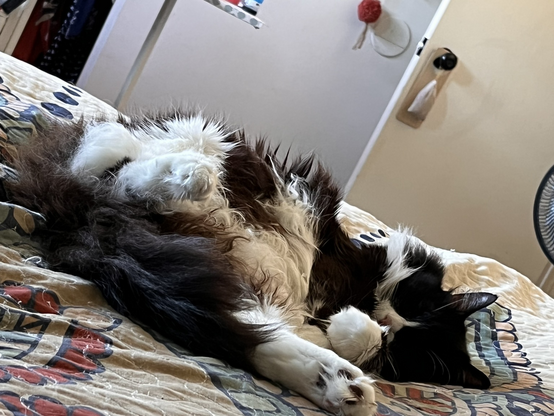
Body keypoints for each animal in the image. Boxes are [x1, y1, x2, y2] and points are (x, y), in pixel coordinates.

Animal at [6, 111, 497, 416]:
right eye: (417, 305)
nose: (391, 322)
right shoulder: (343, 265)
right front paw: (359, 328)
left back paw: (339, 387)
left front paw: (355, 338)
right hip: (188, 140)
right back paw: (188, 175)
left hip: (221, 281)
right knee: (115, 168)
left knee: (249, 340)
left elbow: (346, 338)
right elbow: (352, 327)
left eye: (411, 346)